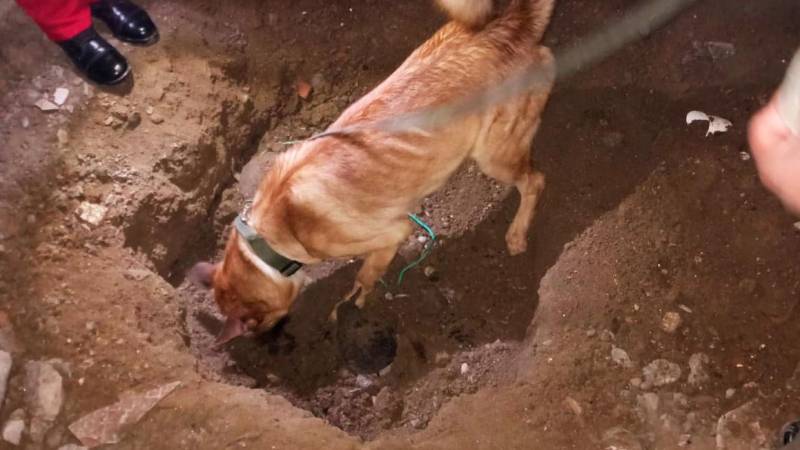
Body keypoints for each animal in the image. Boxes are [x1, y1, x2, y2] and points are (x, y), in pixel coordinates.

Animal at [193, 0, 556, 344]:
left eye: (259, 325)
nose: (267, 337)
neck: (268, 238)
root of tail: (509, 26)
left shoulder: (392, 234)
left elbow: (364, 277)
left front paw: (352, 300)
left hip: (492, 156)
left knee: (535, 181)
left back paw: (517, 232)